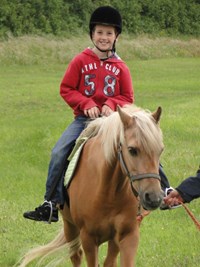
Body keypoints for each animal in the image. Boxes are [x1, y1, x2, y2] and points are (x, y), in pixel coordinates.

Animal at [19, 105, 164, 267]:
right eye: (132, 150)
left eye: (160, 150)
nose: (154, 198)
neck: (110, 192)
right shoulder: (88, 238)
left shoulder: (128, 235)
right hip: (70, 226)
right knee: (76, 255)